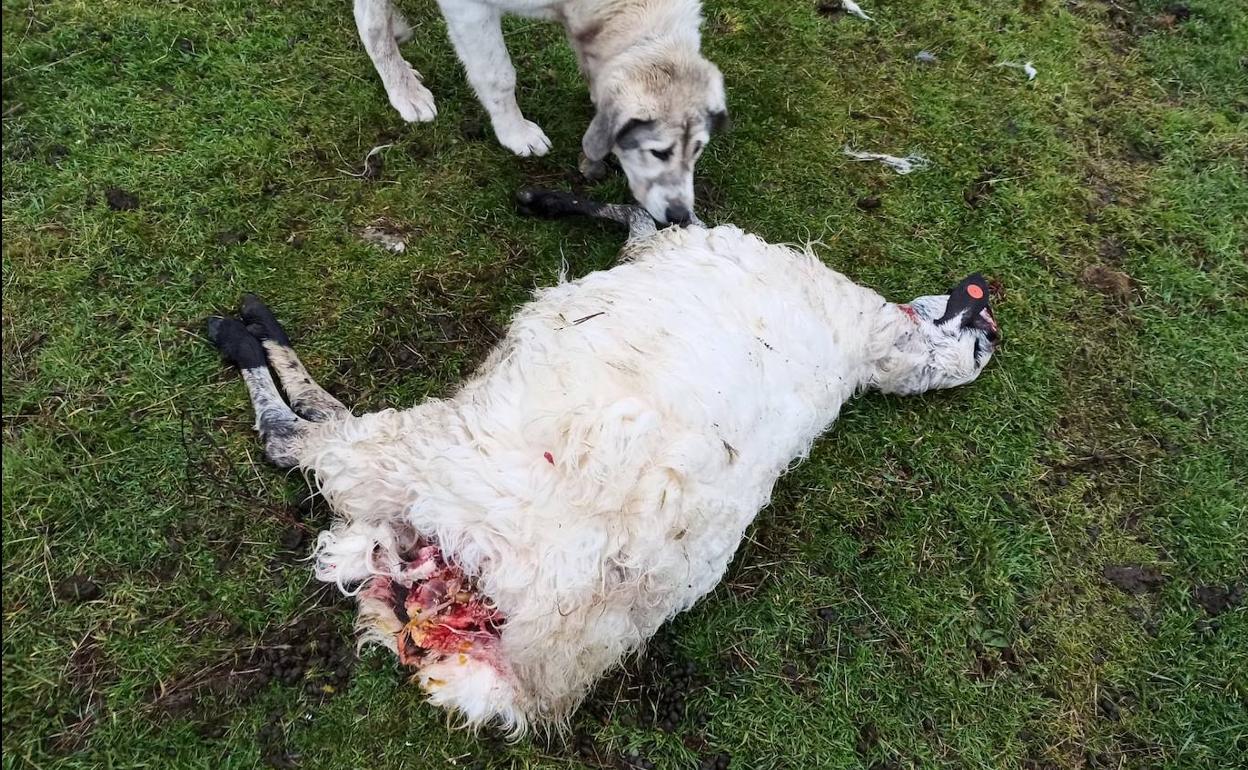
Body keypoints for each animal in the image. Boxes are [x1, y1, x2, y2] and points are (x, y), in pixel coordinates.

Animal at [207, 189, 1003, 728]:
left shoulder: (672, 248)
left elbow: (646, 219)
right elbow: (645, 215)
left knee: (298, 441)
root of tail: (526, 668)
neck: (866, 350)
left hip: (408, 458)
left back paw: (250, 333)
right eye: (979, 340)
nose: (986, 308)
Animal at [351, 0, 728, 222]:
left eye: (697, 151)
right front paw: (515, 134)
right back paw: (404, 90)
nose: (681, 216)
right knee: (370, 20)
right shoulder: (469, 7)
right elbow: (498, 74)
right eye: (658, 152)